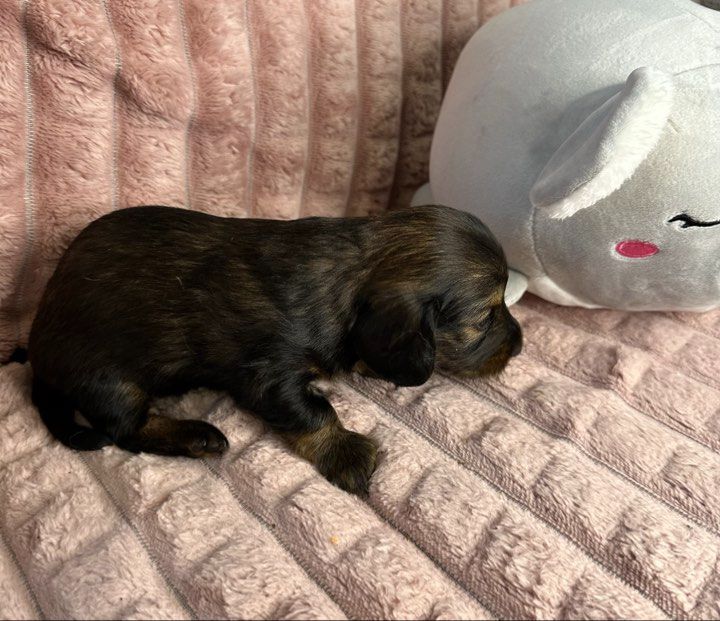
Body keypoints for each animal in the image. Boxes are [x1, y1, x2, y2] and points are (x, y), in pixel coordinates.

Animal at [28, 205, 522, 494]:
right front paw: (345, 452)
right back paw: (197, 435)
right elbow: (314, 411)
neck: (342, 277)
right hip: (110, 380)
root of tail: (36, 352)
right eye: (485, 318)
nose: (519, 346)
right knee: (124, 430)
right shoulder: (268, 375)